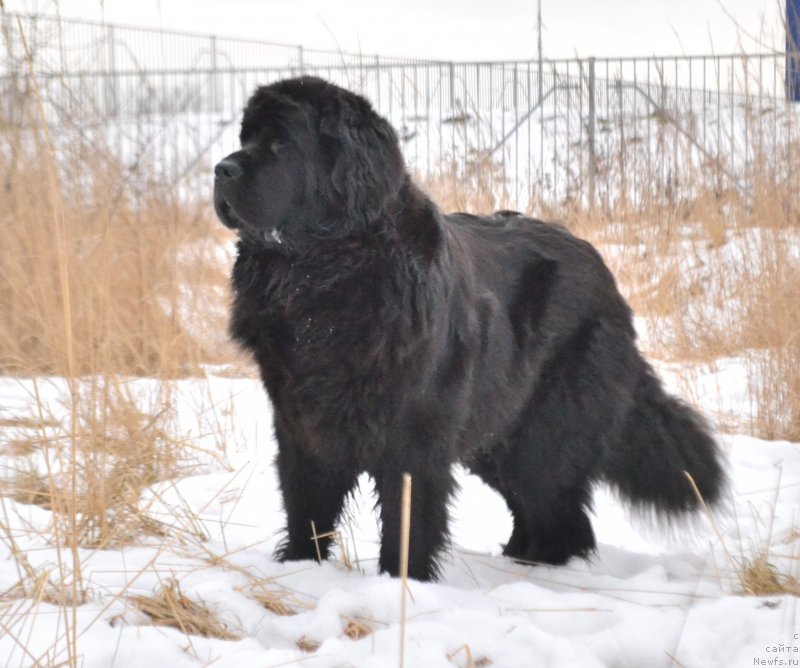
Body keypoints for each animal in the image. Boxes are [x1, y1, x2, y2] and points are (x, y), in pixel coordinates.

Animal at [212, 75, 724, 580]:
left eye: (281, 144)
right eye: (245, 138)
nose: (221, 169)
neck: (325, 274)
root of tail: (605, 275)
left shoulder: (415, 432)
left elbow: (409, 518)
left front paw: (402, 581)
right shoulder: (301, 421)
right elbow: (306, 505)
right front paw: (299, 568)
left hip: (543, 431)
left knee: (557, 504)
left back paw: (540, 567)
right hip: (498, 431)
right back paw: (522, 557)